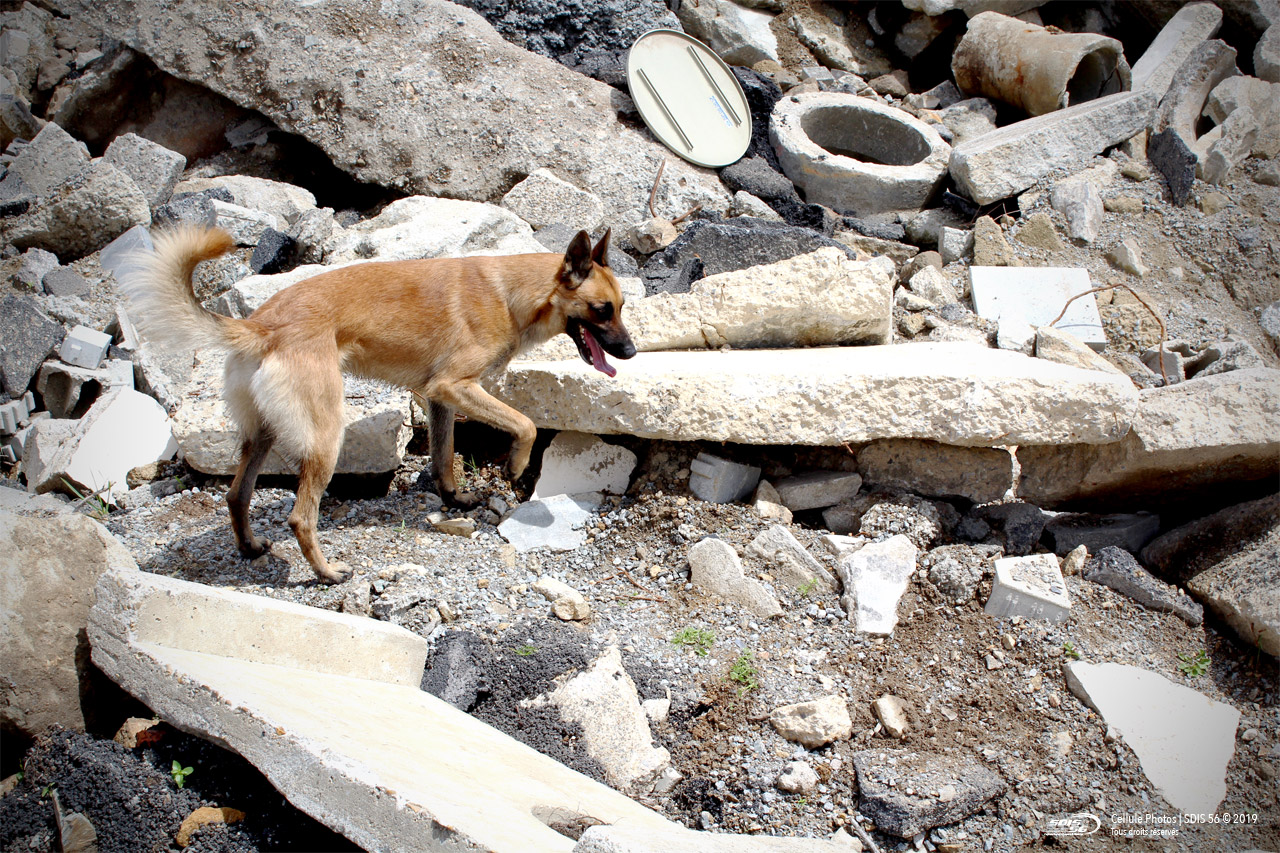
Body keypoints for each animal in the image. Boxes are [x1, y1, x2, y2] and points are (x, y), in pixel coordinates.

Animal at [123, 226, 636, 583]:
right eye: (601, 310)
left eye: (622, 307)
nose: (630, 352)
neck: (512, 294)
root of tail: (261, 326)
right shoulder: (455, 386)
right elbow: (525, 424)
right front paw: (515, 466)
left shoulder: (439, 398)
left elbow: (444, 457)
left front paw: (455, 499)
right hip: (326, 438)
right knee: (300, 517)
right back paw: (327, 573)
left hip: (263, 433)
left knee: (236, 494)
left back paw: (249, 548)